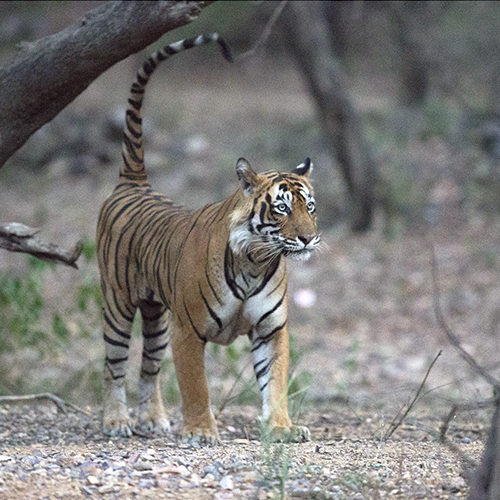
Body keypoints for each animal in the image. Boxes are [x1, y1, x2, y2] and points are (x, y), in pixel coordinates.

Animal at [96, 33, 320, 444]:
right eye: (282, 208)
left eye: (309, 207)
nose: (309, 239)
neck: (255, 260)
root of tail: (135, 183)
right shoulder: (187, 329)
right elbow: (195, 384)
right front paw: (200, 431)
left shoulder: (271, 329)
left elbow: (276, 382)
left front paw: (282, 428)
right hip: (118, 304)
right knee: (113, 365)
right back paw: (116, 421)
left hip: (156, 317)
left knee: (148, 367)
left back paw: (153, 419)